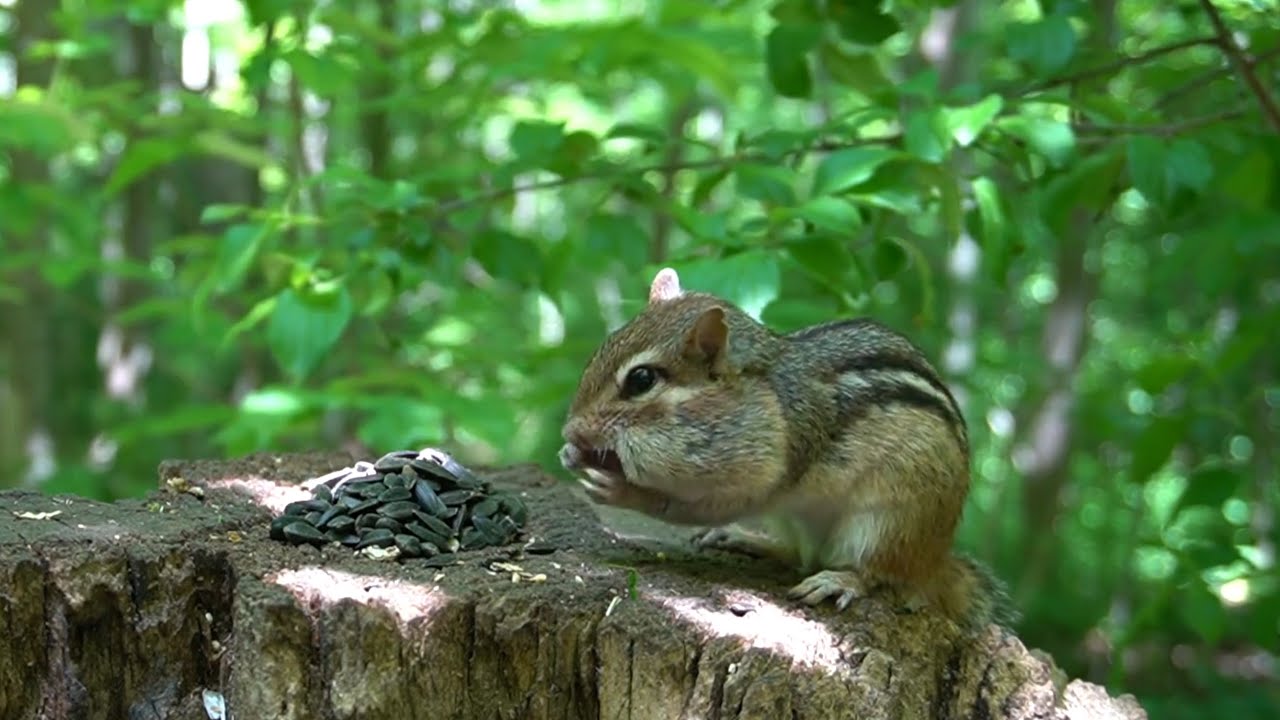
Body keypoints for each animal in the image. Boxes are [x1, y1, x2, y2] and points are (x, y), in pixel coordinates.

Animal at [558, 267, 1015, 633]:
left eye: (641, 380)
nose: (570, 429)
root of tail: (935, 559)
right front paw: (572, 454)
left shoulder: (758, 474)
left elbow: (684, 506)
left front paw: (619, 488)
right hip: (793, 518)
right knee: (800, 555)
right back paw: (746, 539)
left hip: (888, 521)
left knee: (879, 573)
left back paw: (839, 580)